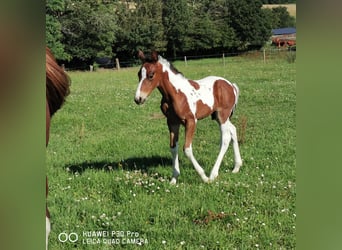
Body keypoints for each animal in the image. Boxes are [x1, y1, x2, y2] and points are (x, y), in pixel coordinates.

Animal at [134, 50, 243, 184]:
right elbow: (173, 148)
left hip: (223, 115)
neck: (176, 94)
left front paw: (204, 176)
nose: (138, 99)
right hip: (219, 116)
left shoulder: (191, 121)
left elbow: (186, 149)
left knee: (225, 139)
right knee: (233, 130)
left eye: (151, 75)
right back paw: (236, 167)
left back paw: (213, 174)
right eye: (139, 74)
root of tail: (230, 85)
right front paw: (174, 179)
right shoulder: (172, 122)